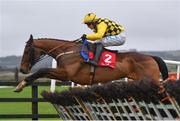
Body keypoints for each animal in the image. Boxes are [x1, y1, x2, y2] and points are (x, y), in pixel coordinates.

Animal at [14, 34, 169, 92]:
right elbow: (43, 72)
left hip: (151, 79)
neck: (67, 51)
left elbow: (42, 71)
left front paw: (21, 85)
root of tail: (151, 57)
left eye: (27, 51)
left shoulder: (67, 74)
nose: (22, 69)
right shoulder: (64, 75)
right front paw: (23, 83)